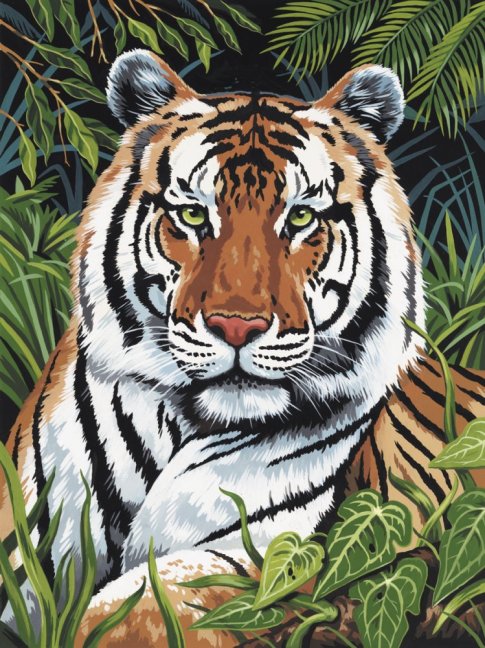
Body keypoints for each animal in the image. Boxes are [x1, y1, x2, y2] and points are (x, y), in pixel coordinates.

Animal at [1, 50, 484, 645]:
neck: (179, 425)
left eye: (300, 217)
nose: (236, 326)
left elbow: (141, 607)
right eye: (192, 214)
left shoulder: (274, 558)